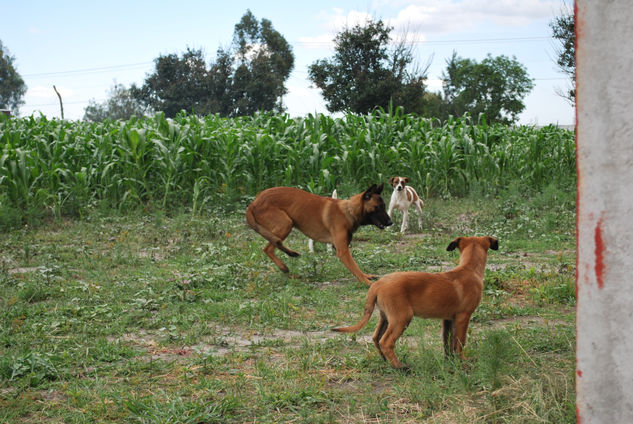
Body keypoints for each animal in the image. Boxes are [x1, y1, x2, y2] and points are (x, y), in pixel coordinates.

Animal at [246, 183, 390, 284]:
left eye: (384, 206)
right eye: (378, 207)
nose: (391, 222)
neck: (348, 211)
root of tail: (254, 202)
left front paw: (367, 276)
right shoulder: (342, 251)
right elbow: (355, 268)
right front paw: (366, 281)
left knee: (273, 244)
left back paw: (289, 257)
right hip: (286, 223)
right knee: (269, 248)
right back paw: (284, 266)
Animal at [330, 237, 498, 370]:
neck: (469, 269)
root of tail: (377, 284)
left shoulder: (448, 319)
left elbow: (448, 342)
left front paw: (450, 361)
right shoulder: (464, 316)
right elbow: (460, 341)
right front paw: (462, 361)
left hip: (385, 317)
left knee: (376, 337)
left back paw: (386, 361)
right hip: (401, 317)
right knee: (386, 341)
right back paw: (400, 367)